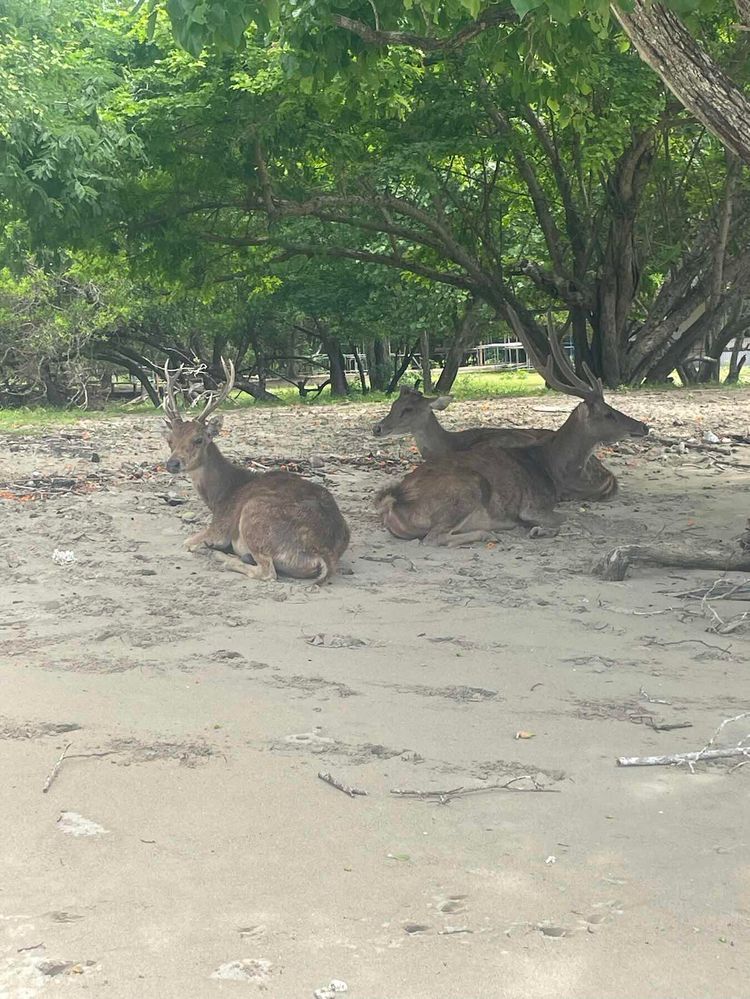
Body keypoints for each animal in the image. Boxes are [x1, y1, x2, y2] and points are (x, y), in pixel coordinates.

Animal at [163, 360, 352, 584]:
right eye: (169, 440)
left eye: (198, 439)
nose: (172, 464)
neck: (220, 496)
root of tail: (324, 556)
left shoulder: (220, 526)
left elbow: (186, 543)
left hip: (254, 515)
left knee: (267, 571)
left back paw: (220, 556)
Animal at [378, 324, 648, 548]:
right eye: (608, 413)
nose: (643, 426)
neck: (551, 468)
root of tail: (394, 500)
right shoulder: (533, 505)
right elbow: (568, 519)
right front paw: (539, 531)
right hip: (466, 490)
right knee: (433, 538)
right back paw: (489, 535)